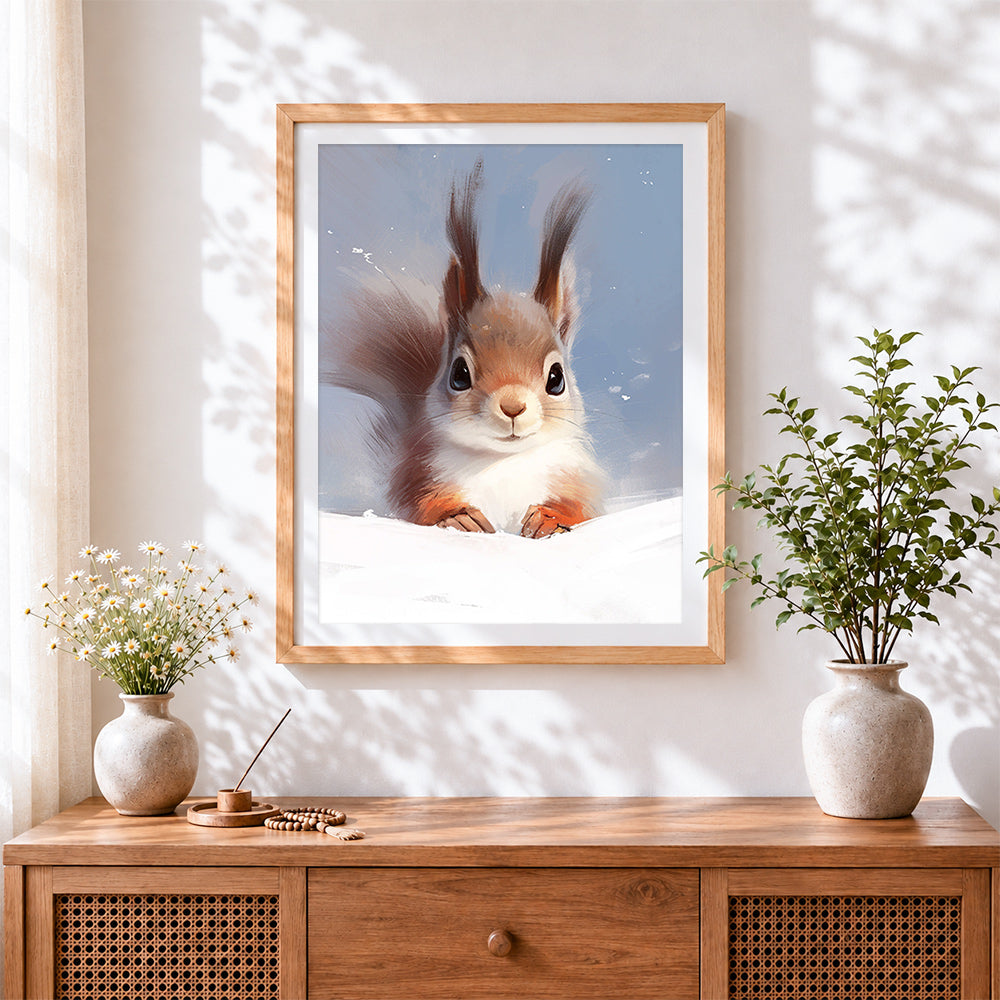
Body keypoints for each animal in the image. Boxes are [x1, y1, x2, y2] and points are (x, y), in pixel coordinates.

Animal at [321, 159, 604, 539]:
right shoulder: (423, 473)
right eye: (459, 374)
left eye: (556, 379)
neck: (502, 460)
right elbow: (421, 505)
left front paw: (550, 518)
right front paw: (459, 517)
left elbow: (582, 508)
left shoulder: (575, 477)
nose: (512, 406)